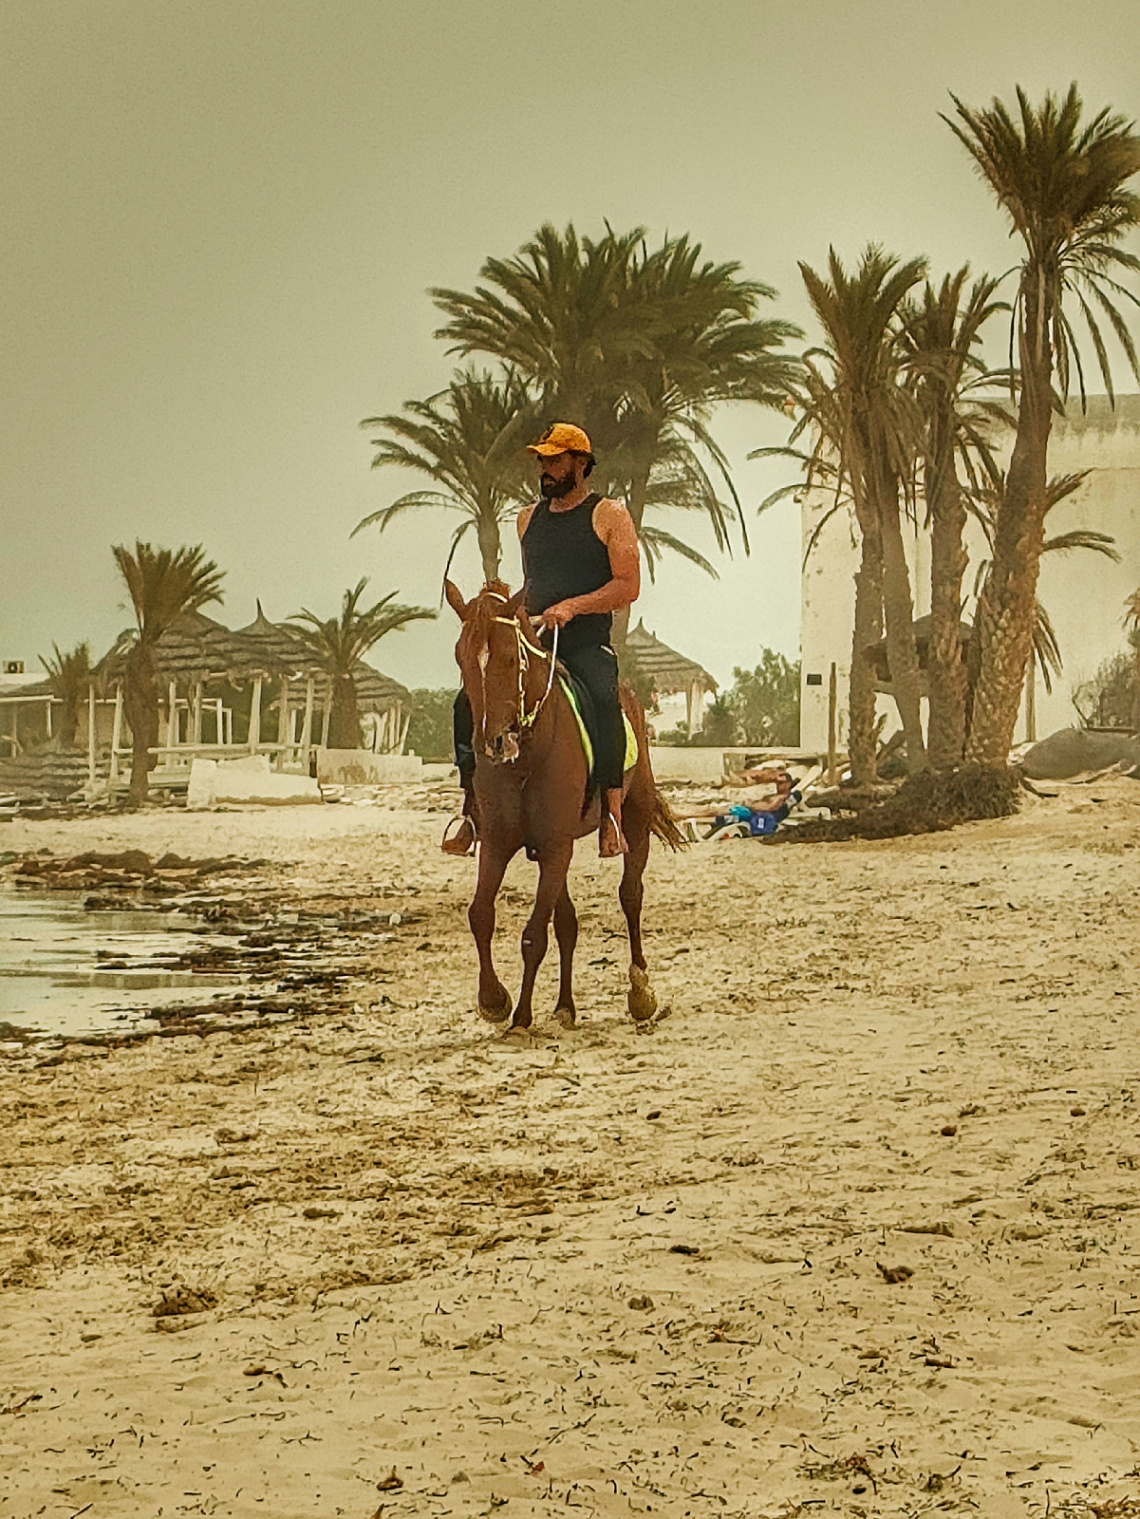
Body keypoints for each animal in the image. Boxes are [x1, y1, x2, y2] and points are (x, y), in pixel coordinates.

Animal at [440, 577, 684, 1032]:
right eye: (461, 657)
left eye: (509, 656)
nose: (491, 744)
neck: (527, 757)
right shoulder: (501, 842)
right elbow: (481, 915)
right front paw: (493, 1000)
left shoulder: (555, 847)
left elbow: (533, 935)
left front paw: (520, 1017)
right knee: (568, 922)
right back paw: (565, 1007)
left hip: (634, 820)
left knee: (631, 896)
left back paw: (641, 992)